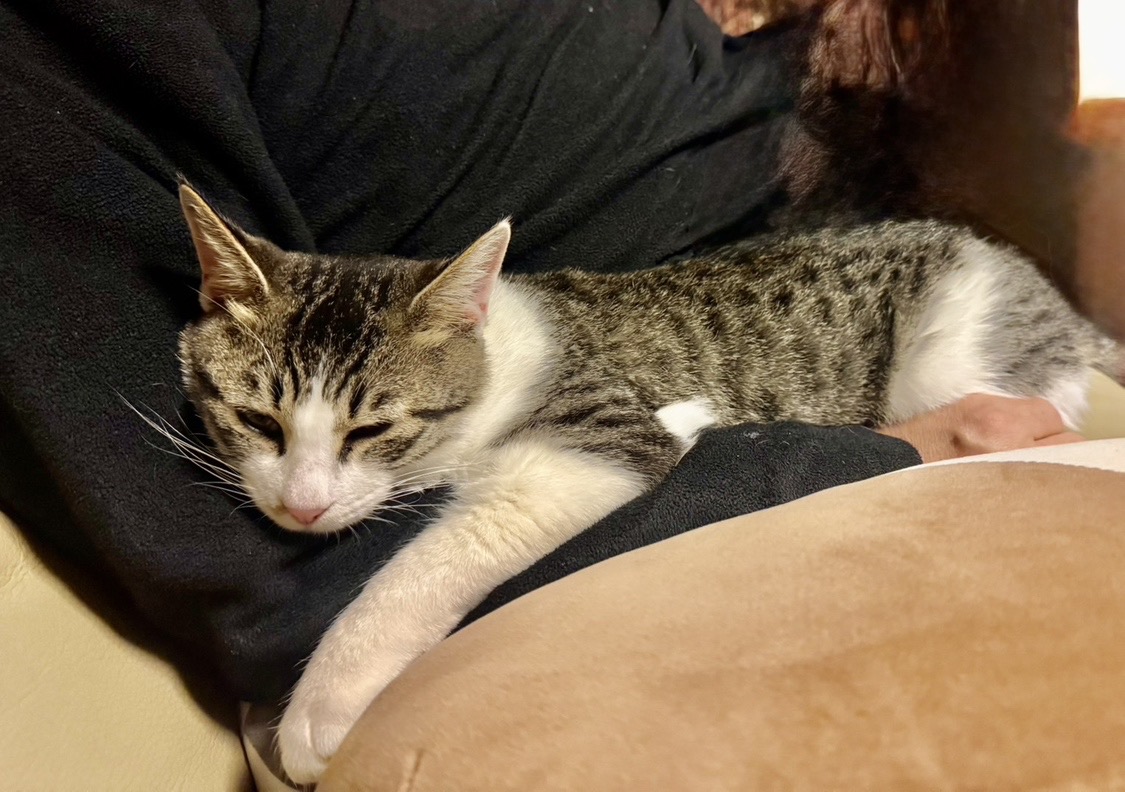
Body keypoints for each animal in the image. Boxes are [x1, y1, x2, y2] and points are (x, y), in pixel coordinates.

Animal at [175, 183, 1118, 783]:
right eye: (256, 422)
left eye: (371, 430)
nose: (300, 505)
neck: (491, 357)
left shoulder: (600, 441)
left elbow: (440, 552)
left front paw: (323, 702)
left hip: (952, 355)